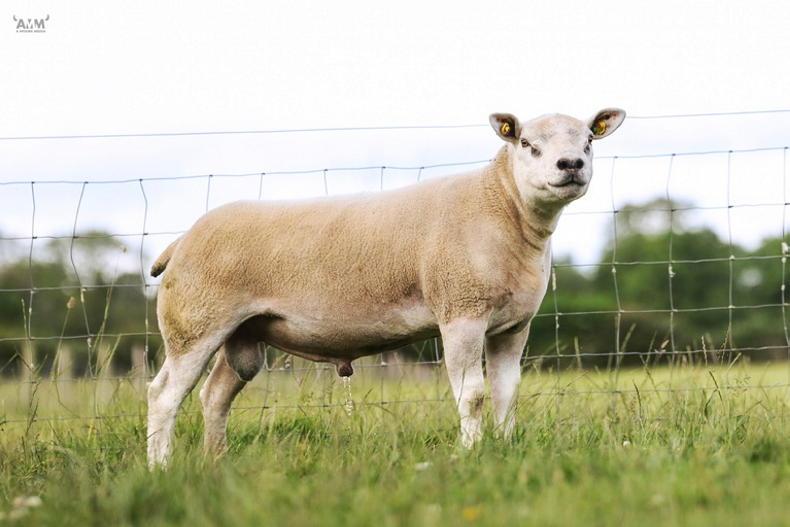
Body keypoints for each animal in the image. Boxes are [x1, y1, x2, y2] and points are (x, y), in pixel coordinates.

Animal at [146, 108, 626, 467]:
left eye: (588, 140)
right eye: (527, 144)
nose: (571, 165)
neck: (504, 207)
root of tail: (182, 240)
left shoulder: (513, 326)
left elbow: (506, 394)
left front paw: (505, 449)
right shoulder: (461, 312)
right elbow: (472, 396)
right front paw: (470, 454)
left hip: (242, 333)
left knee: (214, 395)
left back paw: (216, 461)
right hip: (195, 323)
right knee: (164, 395)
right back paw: (161, 467)